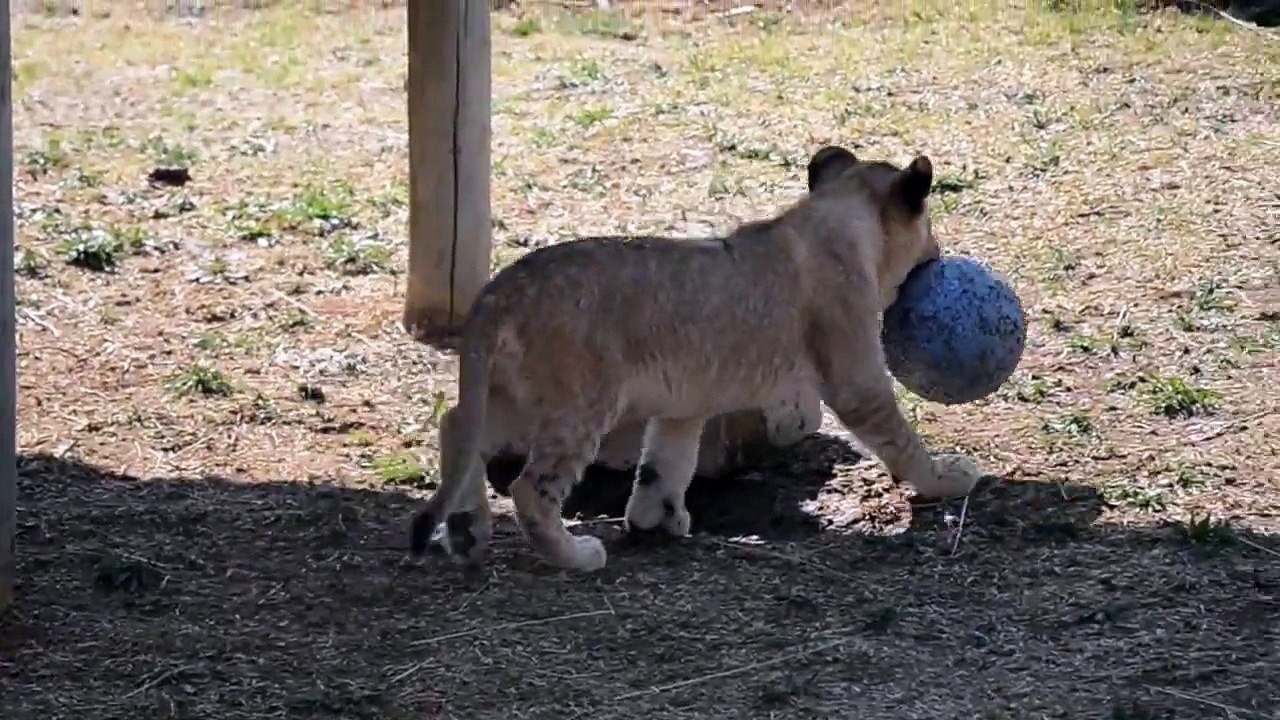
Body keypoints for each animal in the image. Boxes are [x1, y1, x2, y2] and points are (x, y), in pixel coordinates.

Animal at [408, 144, 983, 572]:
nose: (937, 254)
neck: (834, 218)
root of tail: (498, 291)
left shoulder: (683, 405)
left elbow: (667, 463)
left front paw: (654, 520)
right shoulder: (853, 375)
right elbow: (899, 440)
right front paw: (948, 476)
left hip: (510, 395)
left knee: (456, 428)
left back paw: (467, 533)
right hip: (577, 403)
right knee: (529, 487)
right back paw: (576, 555)